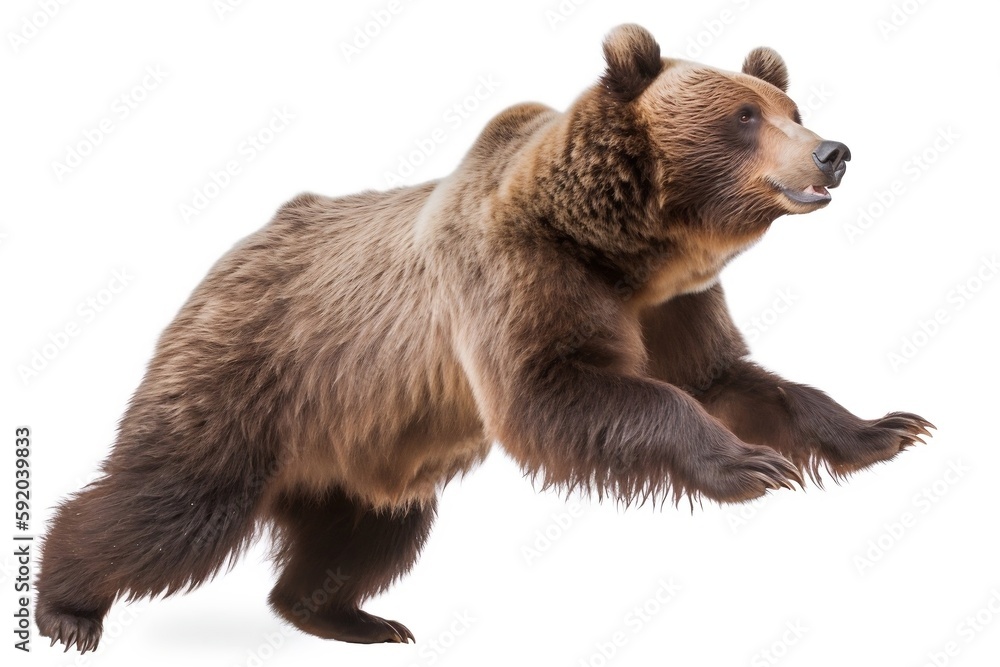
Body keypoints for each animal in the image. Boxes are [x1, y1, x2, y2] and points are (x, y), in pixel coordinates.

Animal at [37, 23, 932, 652]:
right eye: (745, 116)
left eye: (792, 109)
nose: (833, 151)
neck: (627, 249)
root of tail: (237, 248)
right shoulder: (519, 273)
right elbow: (561, 389)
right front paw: (746, 464)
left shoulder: (676, 304)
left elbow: (734, 379)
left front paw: (886, 429)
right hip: (254, 366)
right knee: (176, 498)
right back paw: (66, 604)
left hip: (361, 435)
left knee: (368, 528)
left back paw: (351, 615)